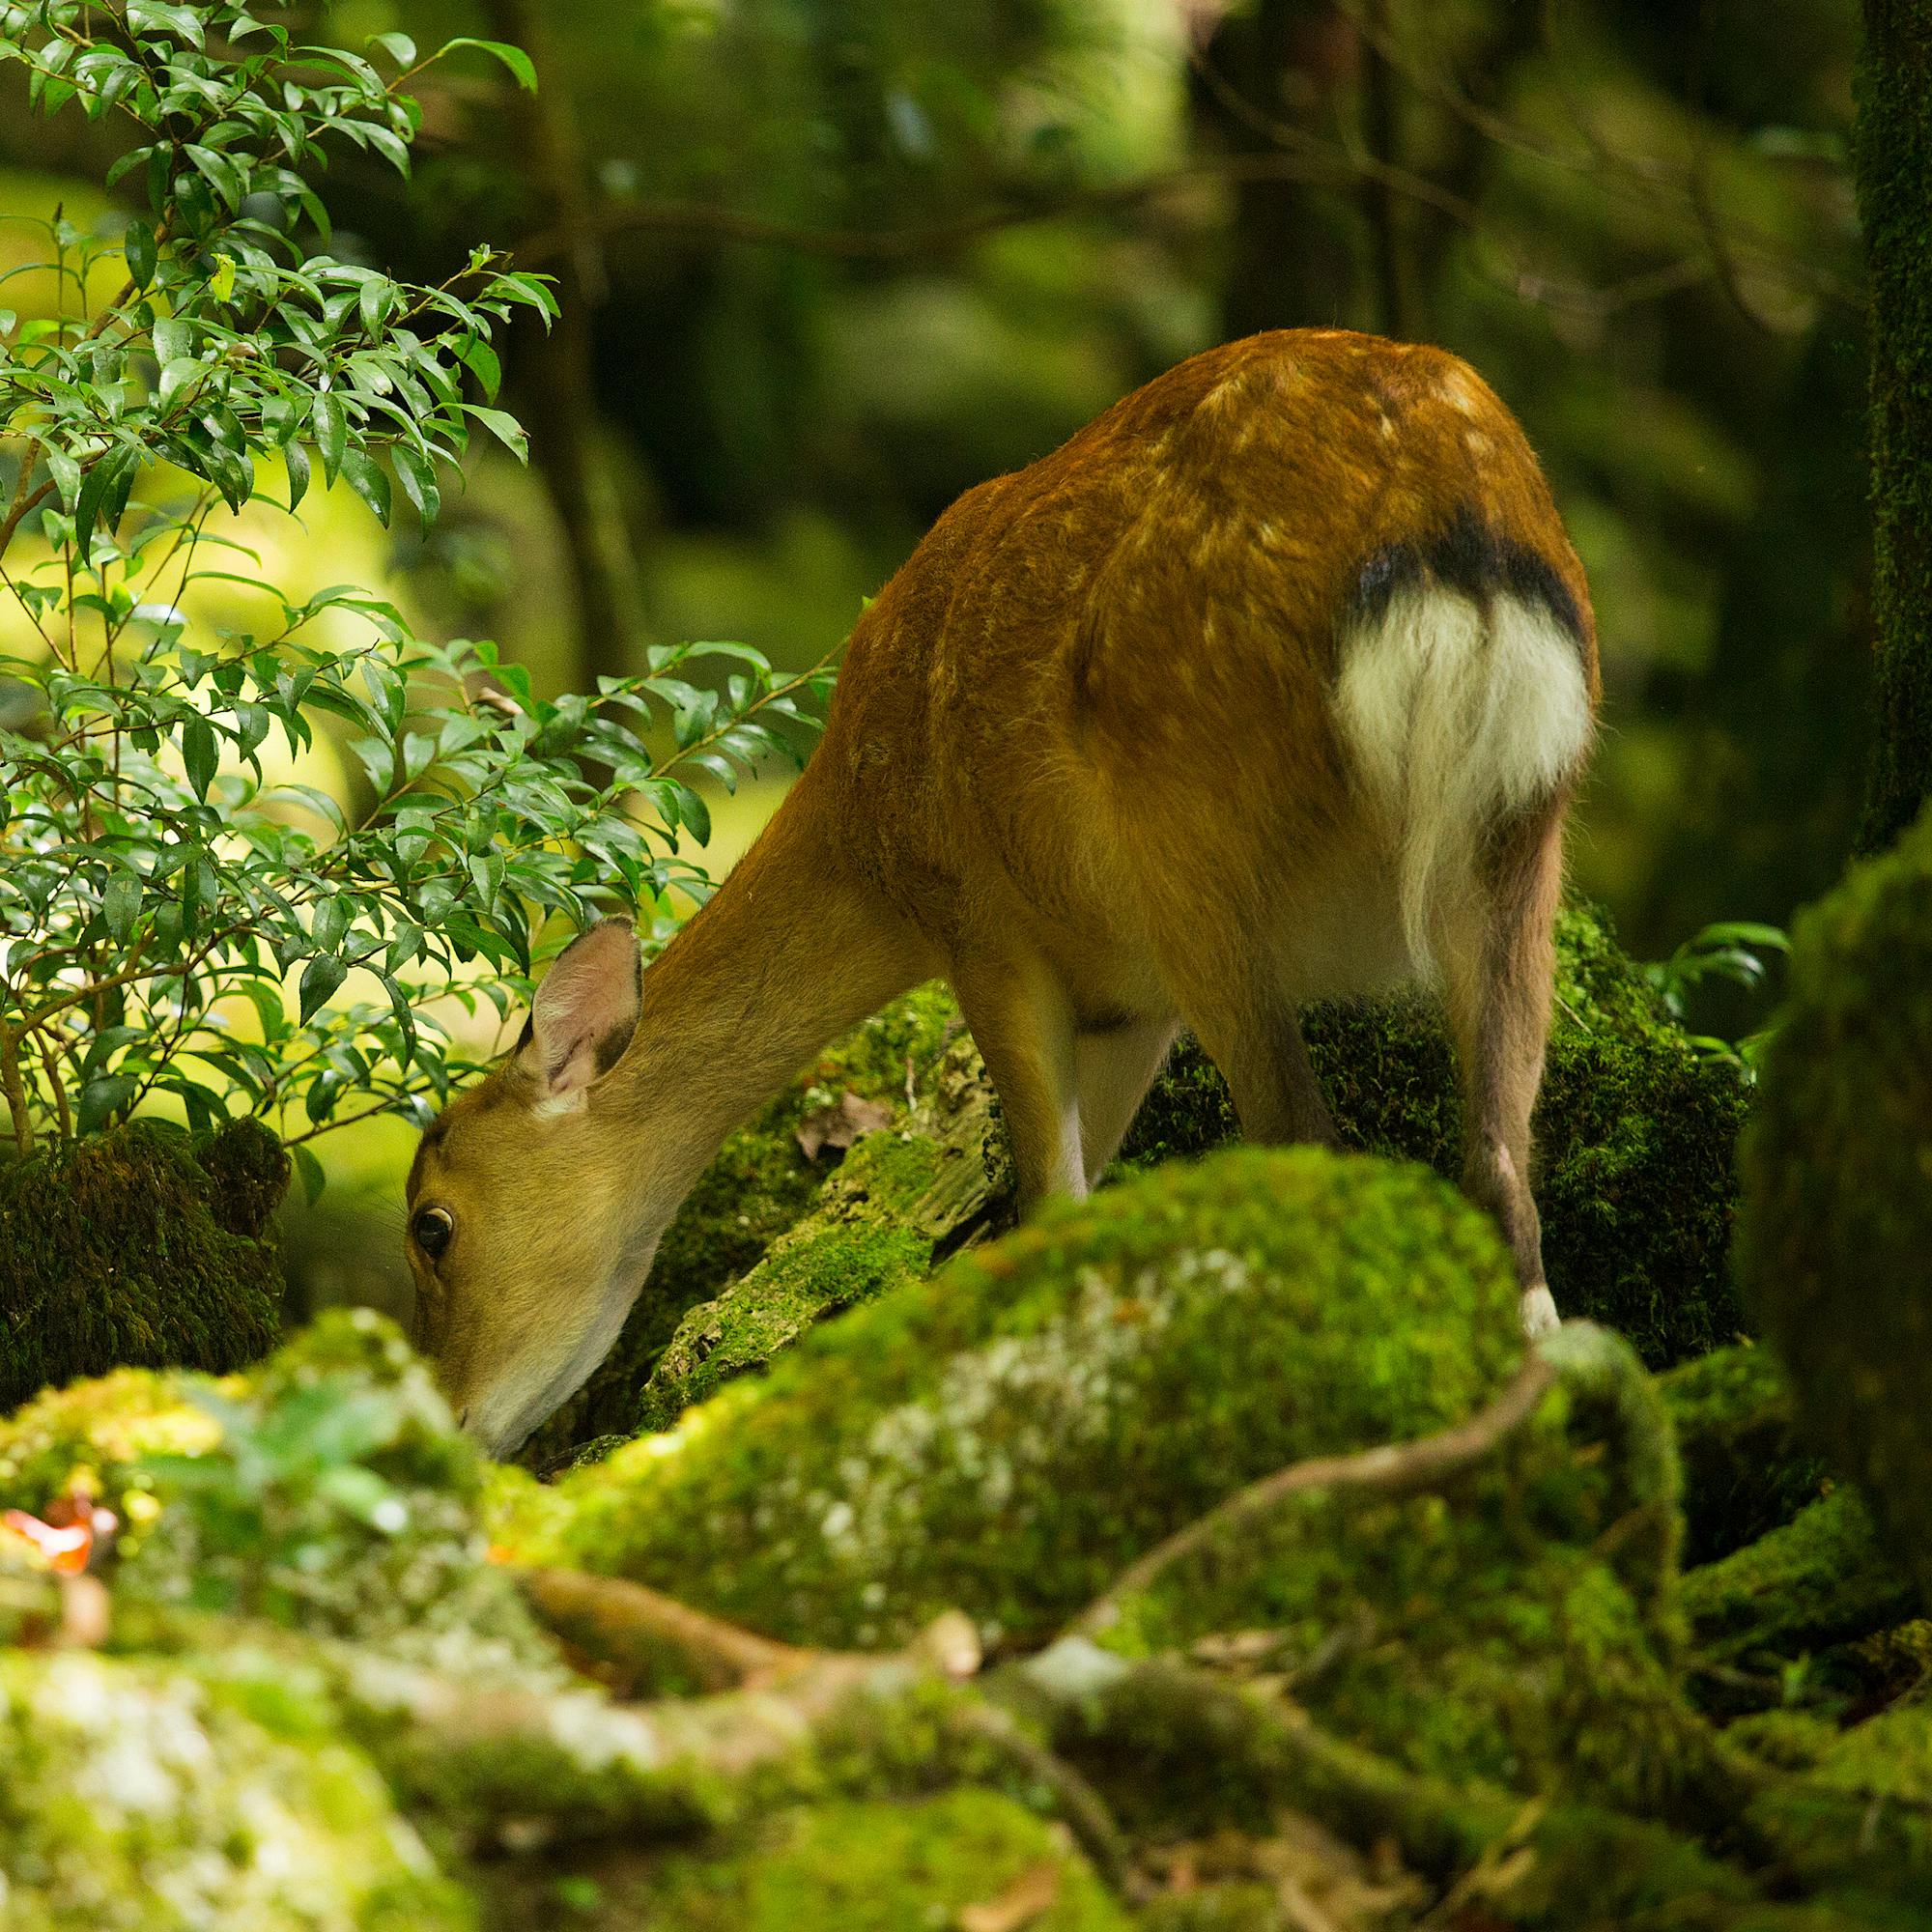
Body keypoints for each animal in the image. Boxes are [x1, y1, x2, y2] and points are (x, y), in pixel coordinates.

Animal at [405, 329, 1599, 1457]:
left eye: (431, 1225)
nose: (451, 1420)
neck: (866, 841)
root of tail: (1454, 533)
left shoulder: (981, 921)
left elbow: (1047, 1202)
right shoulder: (1127, 997)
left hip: (1191, 832)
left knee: (1309, 1134)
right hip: (1522, 832)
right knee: (1502, 1169)